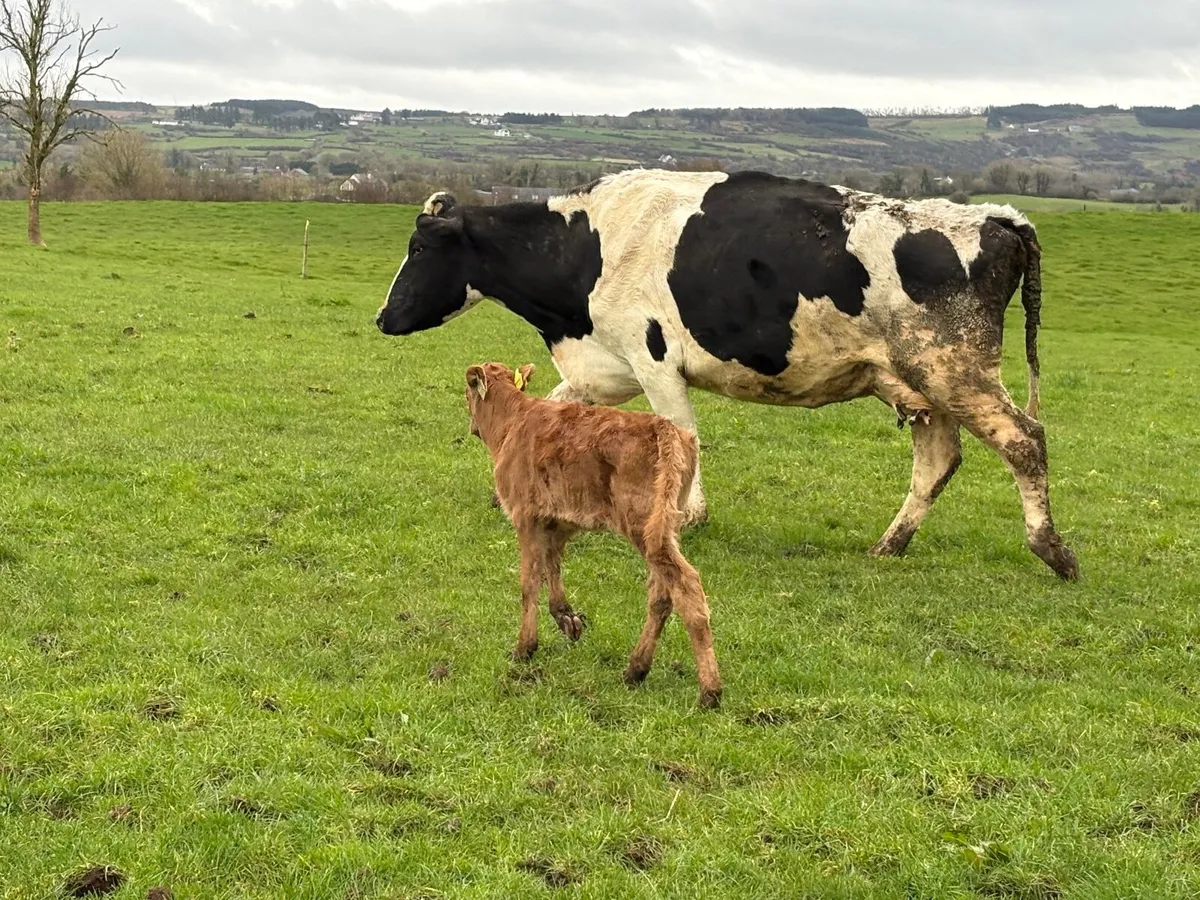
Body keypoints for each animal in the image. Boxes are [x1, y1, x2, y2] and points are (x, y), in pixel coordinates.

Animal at [377, 169, 1079, 581]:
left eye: (419, 248)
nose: (383, 316)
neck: (585, 247)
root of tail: (996, 216)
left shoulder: (655, 359)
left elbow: (680, 437)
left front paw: (687, 517)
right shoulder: (604, 364)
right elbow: (554, 412)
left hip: (954, 368)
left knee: (1025, 440)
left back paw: (1052, 550)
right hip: (917, 382)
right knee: (938, 460)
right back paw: (889, 546)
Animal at [465, 361, 722, 708]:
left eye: (468, 390)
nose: (471, 425)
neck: (513, 422)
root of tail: (663, 427)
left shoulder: (525, 516)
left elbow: (528, 582)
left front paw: (524, 648)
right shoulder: (558, 522)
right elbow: (552, 566)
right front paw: (566, 619)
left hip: (643, 527)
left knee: (686, 586)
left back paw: (710, 691)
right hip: (665, 527)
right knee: (661, 594)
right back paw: (636, 670)